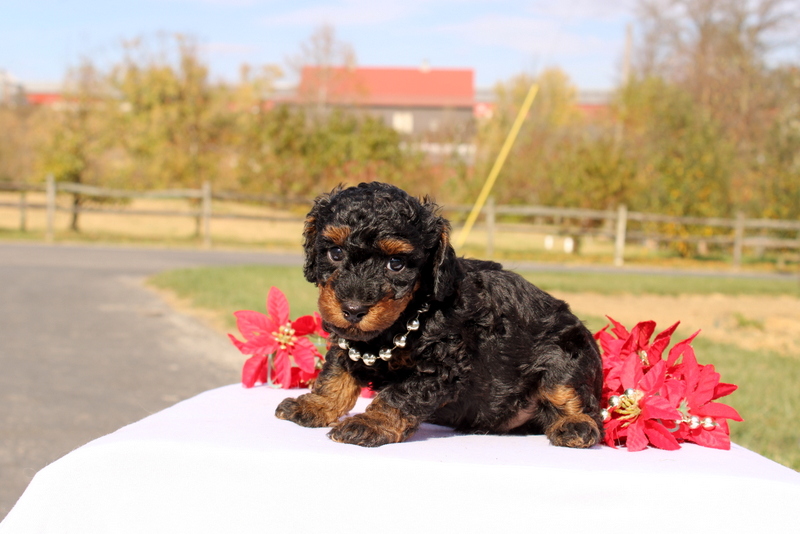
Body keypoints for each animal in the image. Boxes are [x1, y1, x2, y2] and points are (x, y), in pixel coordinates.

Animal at [278, 182, 604, 450]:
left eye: (396, 263)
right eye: (334, 253)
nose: (354, 309)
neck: (408, 316)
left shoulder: (442, 365)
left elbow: (399, 395)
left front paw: (370, 423)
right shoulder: (347, 340)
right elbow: (335, 373)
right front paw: (316, 405)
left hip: (566, 353)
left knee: (573, 397)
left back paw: (574, 426)